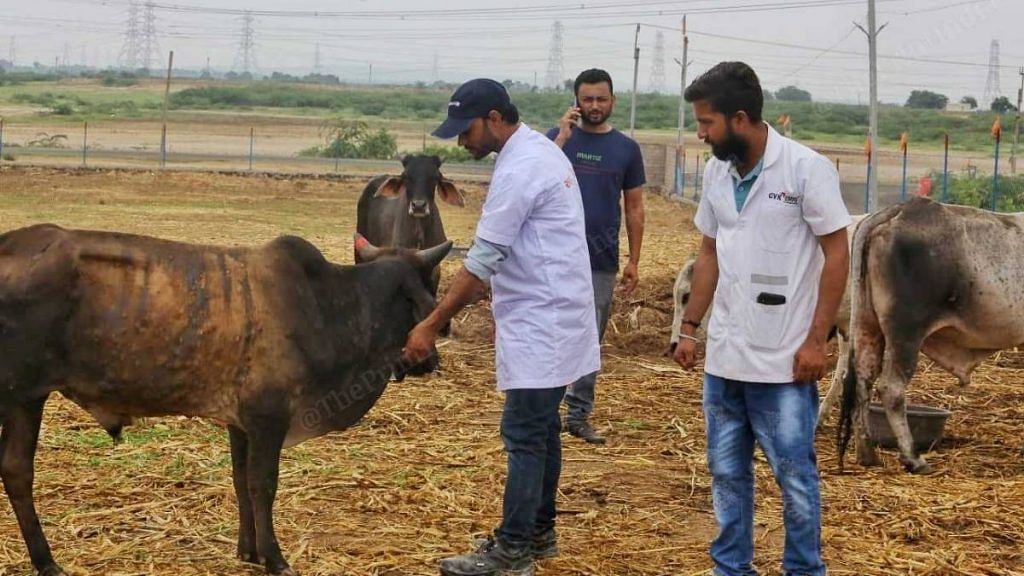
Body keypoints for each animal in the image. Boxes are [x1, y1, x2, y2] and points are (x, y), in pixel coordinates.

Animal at [0, 224, 452, 573]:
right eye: (422, 297)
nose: (430, 360)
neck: (329, 306)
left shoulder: (241, 424)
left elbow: (240, 482)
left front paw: (248, 551)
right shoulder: (269, 418)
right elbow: (262, 485)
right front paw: (275, 558)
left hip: (25, 399)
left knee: (16, 472)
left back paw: (46, 562)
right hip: (22, 395)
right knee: (18, 471)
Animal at [843, 196, 1024, 471]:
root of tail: (902, 209)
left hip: (867, 326)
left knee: (864, 383)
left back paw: (867, 454)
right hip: (906, 333)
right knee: (891, 388)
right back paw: (912, 457)